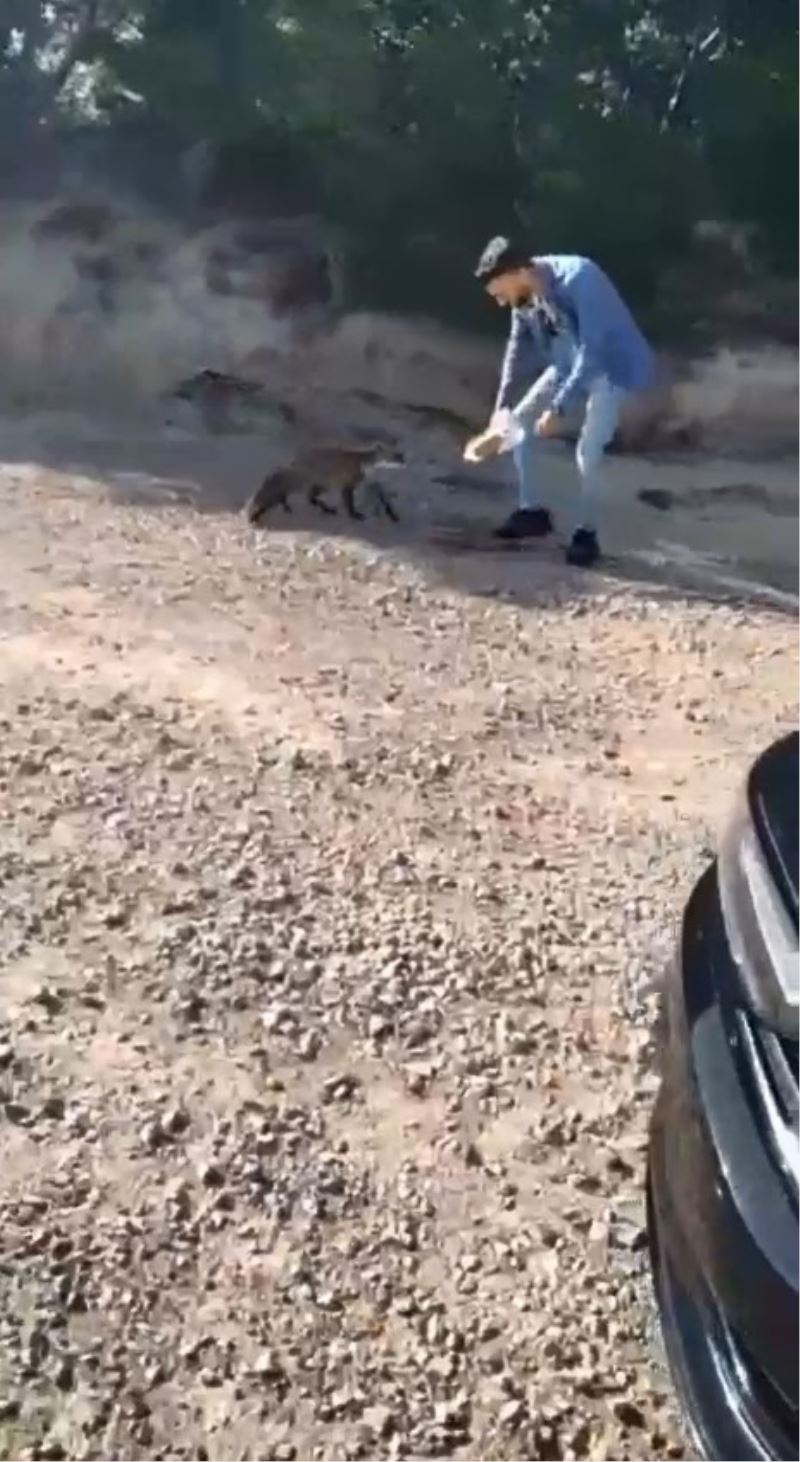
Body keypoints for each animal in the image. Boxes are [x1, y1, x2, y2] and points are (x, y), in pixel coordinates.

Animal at [244, 441, 403, 529]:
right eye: (395, 456)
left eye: (401, 454)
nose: (404, 461)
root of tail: (294, 459)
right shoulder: (348, 483)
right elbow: (349, 503)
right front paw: (355, 514)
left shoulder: (371, 485)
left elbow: (385, 502)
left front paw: (393, 516)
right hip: (307, 482)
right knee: (287, 493)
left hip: (321, 484)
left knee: (310, 498)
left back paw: (326, 509)